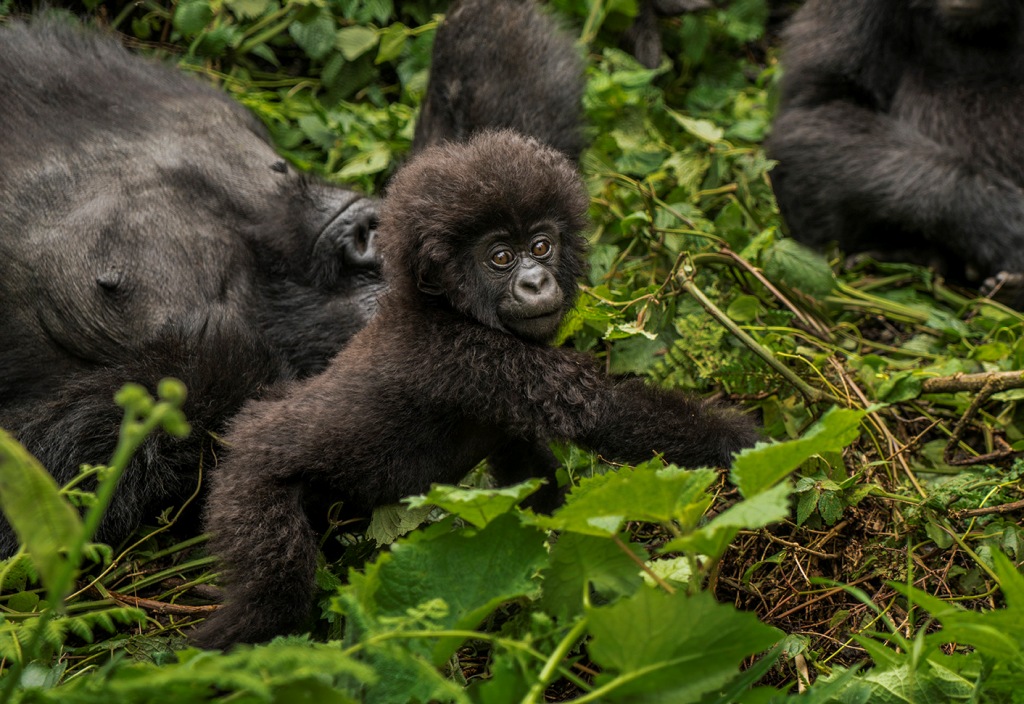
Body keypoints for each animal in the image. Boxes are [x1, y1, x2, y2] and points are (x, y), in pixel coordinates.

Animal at [193, 127, 753, 650]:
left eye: (541, 246)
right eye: (500, 257)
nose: (535, 283)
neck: (439, 306)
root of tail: (240, 437)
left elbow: (529, 478)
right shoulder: (471, 356)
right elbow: (600, 409)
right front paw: (746, 441)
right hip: (250, 486)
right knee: (275, 595)